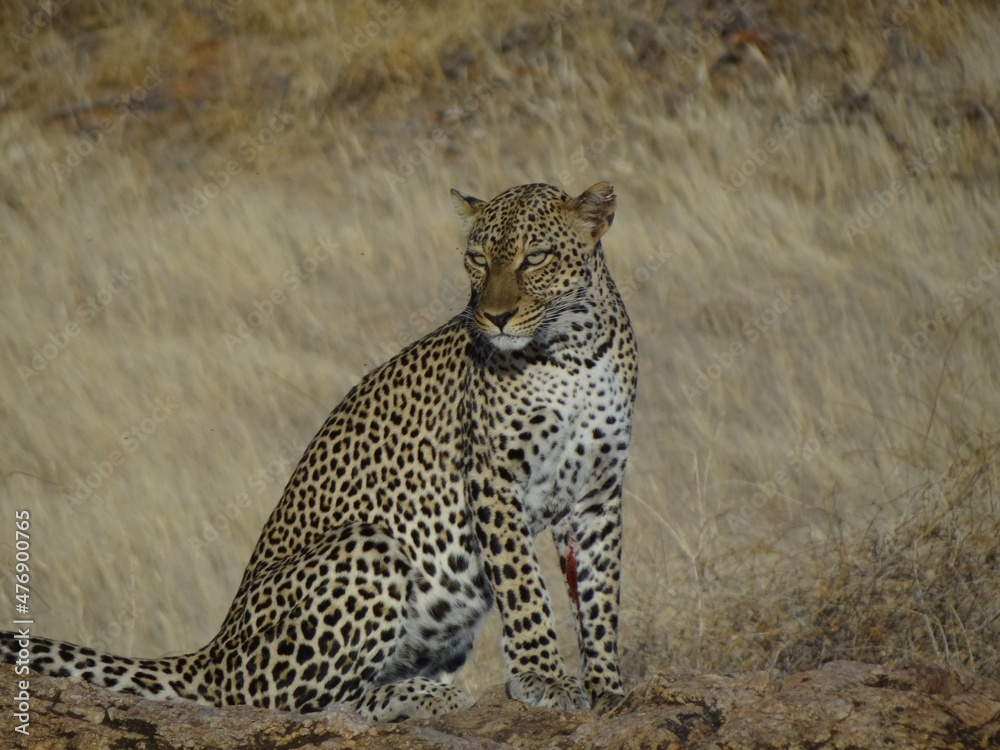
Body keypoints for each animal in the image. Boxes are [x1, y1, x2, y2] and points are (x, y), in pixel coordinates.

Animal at [2, 181, 638, 722]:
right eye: (477, 259)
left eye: (535, 258)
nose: (494, 316)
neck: (571, 352)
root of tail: (211, 652)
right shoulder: (493, 478)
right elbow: (524, 584)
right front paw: (543, 678)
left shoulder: (599, 488)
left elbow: (600, 591)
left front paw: (607, 685)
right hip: (371, 548)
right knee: (297, 704)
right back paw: (422, 696)